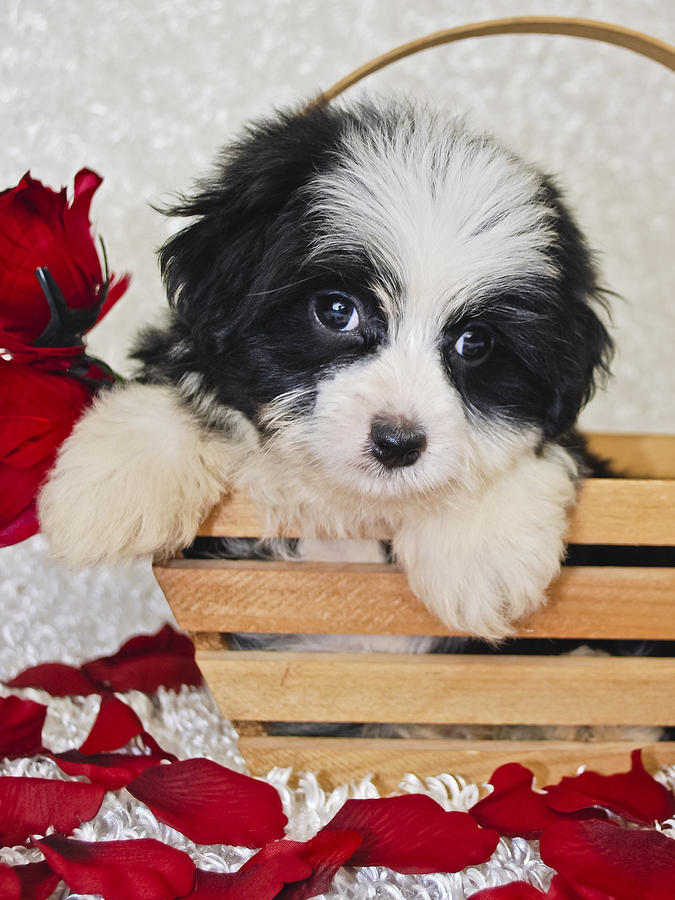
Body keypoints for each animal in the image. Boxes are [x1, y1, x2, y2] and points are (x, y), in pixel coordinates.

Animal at [39, 96, 616, 640]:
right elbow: (180, 383)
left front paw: (479, 547)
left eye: (474, 342)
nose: (398, 442)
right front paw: (108, 487)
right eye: (337, 311)